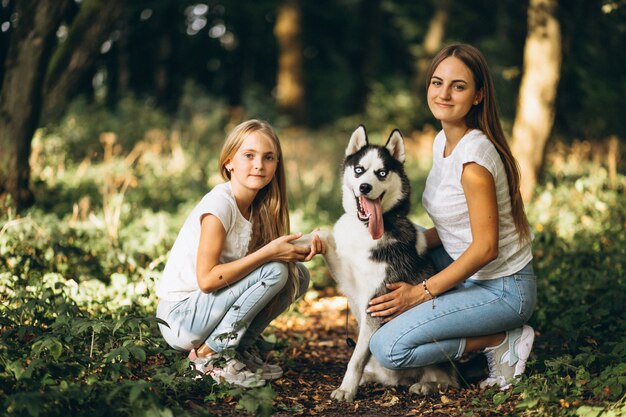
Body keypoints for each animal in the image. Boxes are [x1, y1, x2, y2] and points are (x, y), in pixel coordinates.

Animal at [294, 126, 456, 400]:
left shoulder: (375, 303)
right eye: (359, 169)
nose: (365, 187)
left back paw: (426, 385)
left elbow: (356, 358)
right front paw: (295, 241)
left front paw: (346, 390)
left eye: (382, 173)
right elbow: (323, 235)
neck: (364, 230)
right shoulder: (347, 279)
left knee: (449, 379)